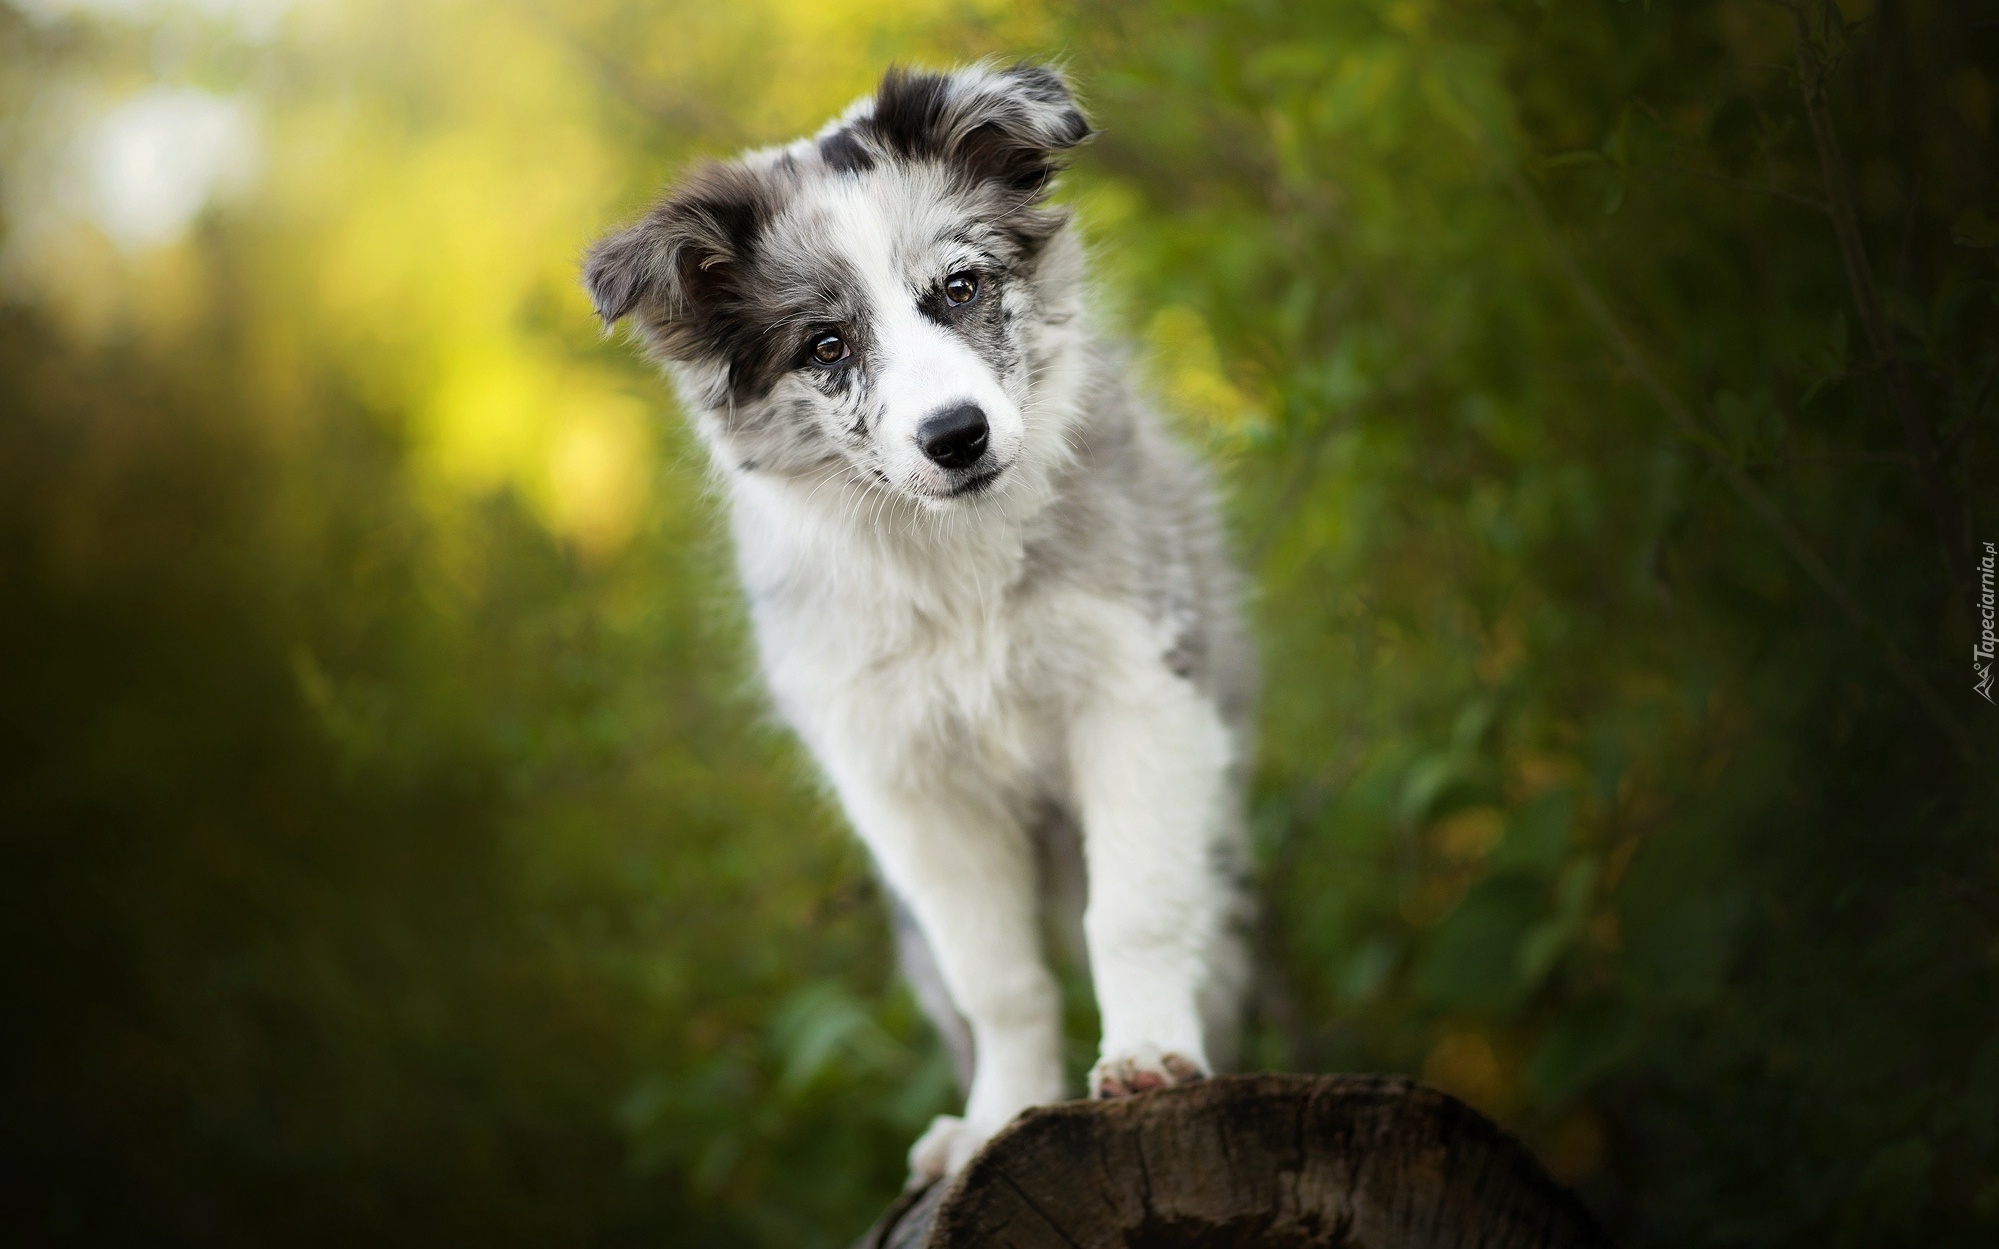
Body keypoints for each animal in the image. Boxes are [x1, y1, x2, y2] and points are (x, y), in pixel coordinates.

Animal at [583, 60, 1255, 1175]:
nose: (956, 436)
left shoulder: (1140, 692)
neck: (956, 557)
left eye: (961, 288)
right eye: (825, 343)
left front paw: (1147, 1056)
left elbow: (1133, 909)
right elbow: (998, 980)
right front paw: (999, 1118)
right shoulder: (906, 782)